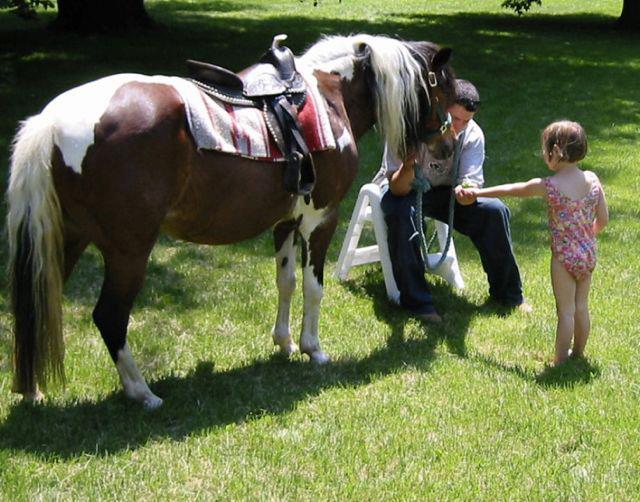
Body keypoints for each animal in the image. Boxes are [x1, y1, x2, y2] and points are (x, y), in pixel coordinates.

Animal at [7, 34, 456, 409]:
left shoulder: (285, 223)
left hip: (67, 240)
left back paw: (32, 389)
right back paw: (143, 393)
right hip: (128, 252)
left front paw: (284, 342)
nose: (448, 146)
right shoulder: (319, 220)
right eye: (443, 85)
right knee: (109, 317)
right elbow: (313, 288)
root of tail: (51, 122)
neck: (331, 95)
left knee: (35, 307)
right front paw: (313, 348)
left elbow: (285, 281)